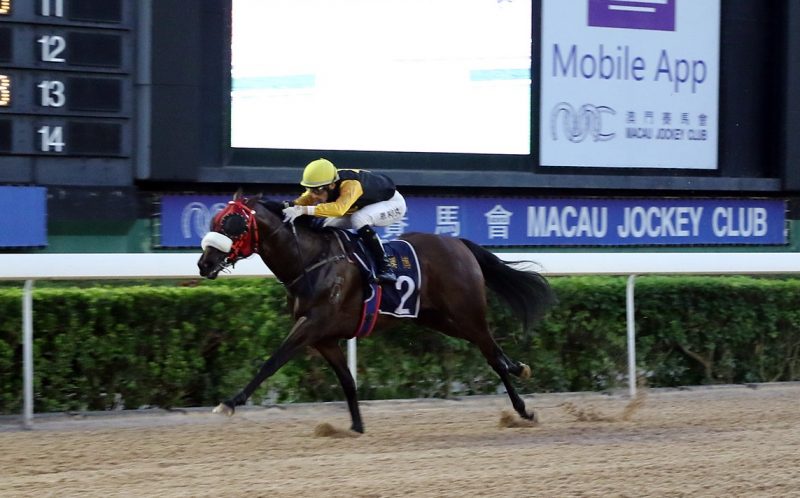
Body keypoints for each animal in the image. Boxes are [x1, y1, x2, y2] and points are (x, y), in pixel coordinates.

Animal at [197, 190, 556, 434]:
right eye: (214, 221)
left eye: (232, 223)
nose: (204, 263)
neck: (311, 260)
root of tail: (459, 244)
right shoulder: (324, 338)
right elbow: (347, 380)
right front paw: (356, 427)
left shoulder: (312, 325)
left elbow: (272, 361)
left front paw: (229, 403)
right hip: (441, 319)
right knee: (491, 350)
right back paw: (519, 368)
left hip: (467, 312)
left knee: (492, 355)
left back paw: (523, 410)